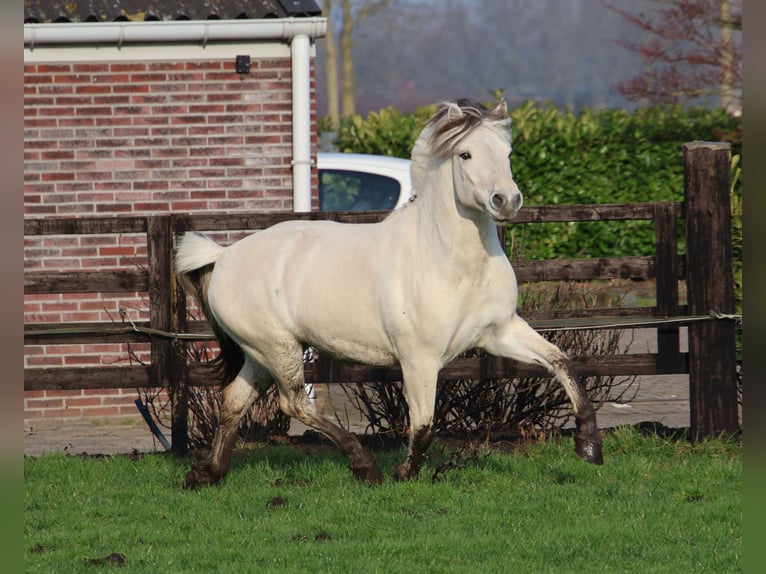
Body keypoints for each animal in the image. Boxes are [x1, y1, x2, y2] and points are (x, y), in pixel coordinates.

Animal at [175, 98, 603, 488]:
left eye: (508, 153)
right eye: (465, 154)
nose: (507, 201)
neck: (453, 264)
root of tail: (224, 256)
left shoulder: (500, 333)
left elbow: (561, 361)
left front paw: (589, 446)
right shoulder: (419, 359)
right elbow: (425, 423)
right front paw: (404, 474)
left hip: (260, 354)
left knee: (233, 401)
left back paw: (206, 474)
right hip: (278, 349)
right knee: (292, 402)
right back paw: (365, 466)